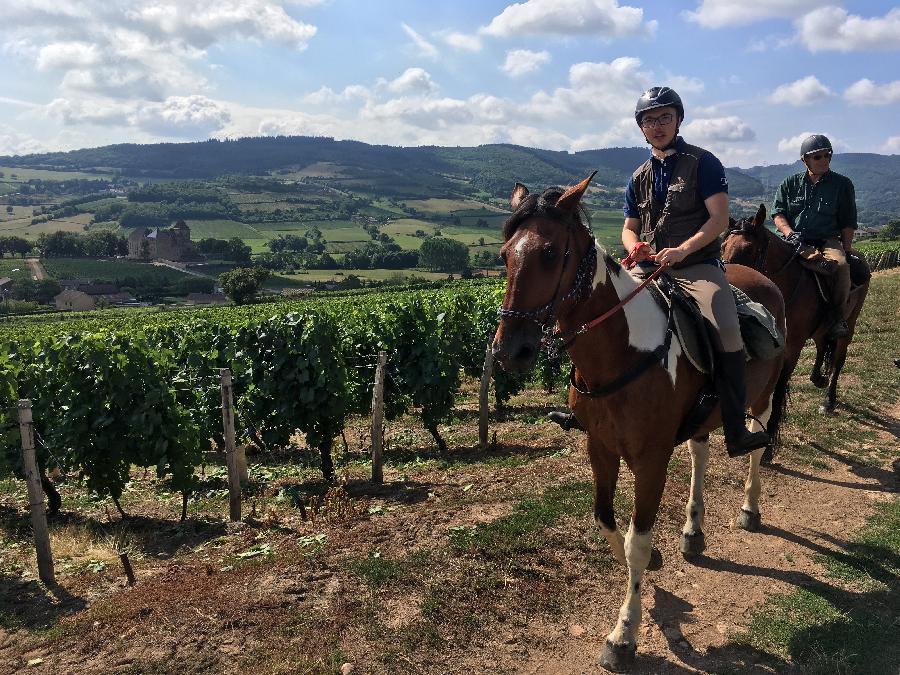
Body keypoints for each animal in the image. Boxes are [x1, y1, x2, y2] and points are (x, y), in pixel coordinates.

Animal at [492, 176, 788, 675]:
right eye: (503, 254)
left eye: (550, 253)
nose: (509, 351)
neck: (621, 352)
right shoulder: (600, 448)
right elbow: (606, 519)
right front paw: (656, 562)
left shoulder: (651, 463)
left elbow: (636, 540)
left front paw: (623, 634)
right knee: (701, 451)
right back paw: (693, 531)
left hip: (762, 397)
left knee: (754, 445)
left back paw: (750, 508)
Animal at [720, 206, 868, 418]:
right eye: (722, 246)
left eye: (748, 249)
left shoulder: (793, 346)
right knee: (822, 345)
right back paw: (818, 378)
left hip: (850, 324)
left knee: (839, 359)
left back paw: (829, 399)